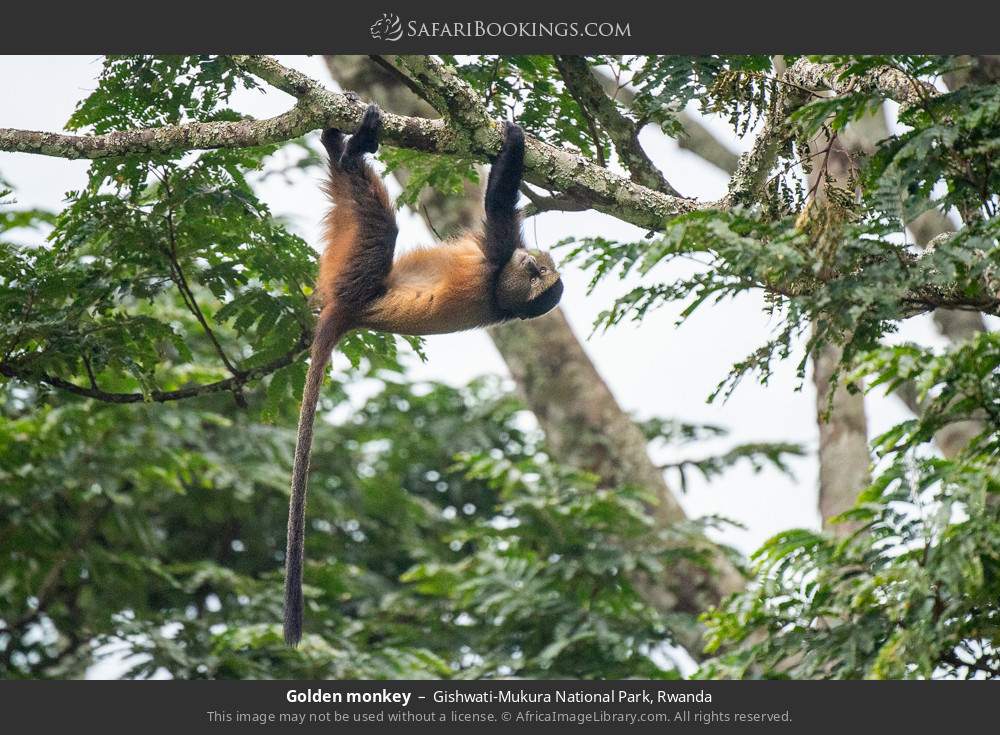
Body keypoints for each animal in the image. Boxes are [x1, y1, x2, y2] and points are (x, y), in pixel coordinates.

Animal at [284, 104, 563, 646]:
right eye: (538, 271)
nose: (538, 262)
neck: (500, 297)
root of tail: (348, 316)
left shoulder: (495, 259)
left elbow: (498, 204)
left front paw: (513, 138)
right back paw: (338, 143)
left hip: (353, 275)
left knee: (380, 226)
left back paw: (352, 151)